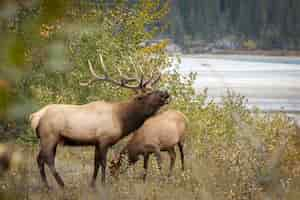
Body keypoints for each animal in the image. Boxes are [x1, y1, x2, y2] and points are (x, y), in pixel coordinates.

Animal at [31, 54, 170, 188]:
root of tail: (35, 116)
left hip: (49, 139)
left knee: (40, 159)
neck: (122, 120)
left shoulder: (97, 142)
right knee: (47, 159)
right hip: (49, 137)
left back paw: (48, 185)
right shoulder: (104, 139)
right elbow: (103, 163)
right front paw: (103, 184)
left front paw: (92, 185)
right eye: (148, 94)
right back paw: (61, 185)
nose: (165, 93)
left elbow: (96, 164)